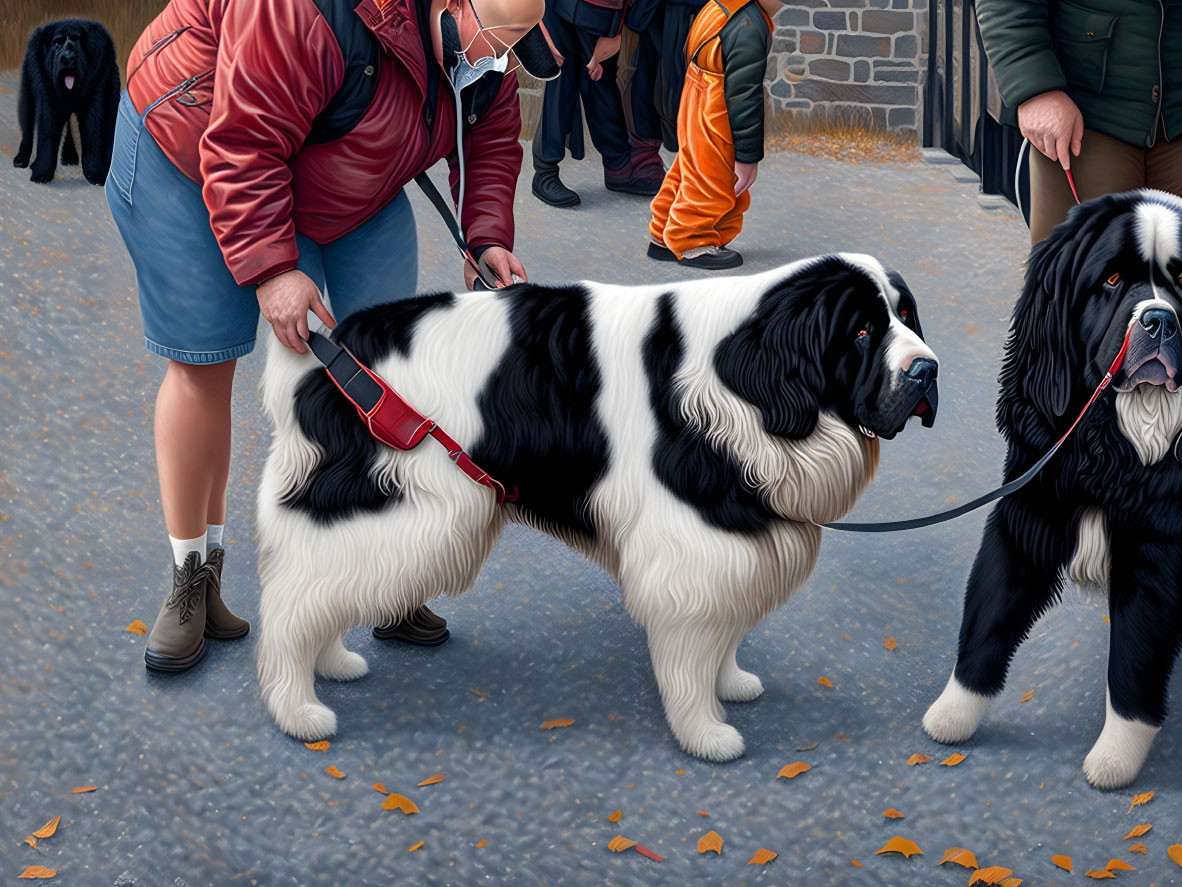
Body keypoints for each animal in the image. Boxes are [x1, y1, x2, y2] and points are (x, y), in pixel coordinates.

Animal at [13, 19, 119, 185]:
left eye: (76, 41)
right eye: (57, 44)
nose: (68, 57)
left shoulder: (94, 99)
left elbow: (92, 134)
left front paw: (94, 174)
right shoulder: (50, 102)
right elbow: (47, 134)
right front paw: (42, 173)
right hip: (27, 92)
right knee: (27, 126)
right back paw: (23, 159)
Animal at [254, 256, 936, 766]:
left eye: (906, 316)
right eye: (861, 332)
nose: (927, 370)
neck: (745, 383)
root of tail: (329, 352)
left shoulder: (732, 541)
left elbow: (724, 630)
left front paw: (731, 683)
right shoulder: (691, 544)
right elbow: (693, 647)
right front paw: (705, 732)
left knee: (319, 593)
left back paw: (333, 663)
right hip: (396, 509)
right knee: (291, 605)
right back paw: (298, 712)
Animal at [921, 189, 1182, 790]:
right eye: (1112, 279)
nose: (1161, 320)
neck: (1113, 442)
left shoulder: (1156, 549)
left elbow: (1134, 656)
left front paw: (1114, 759)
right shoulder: (1028, 511)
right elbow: (988, 615)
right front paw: (953, 713)